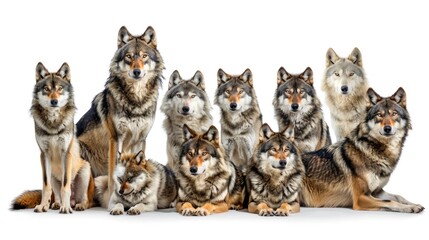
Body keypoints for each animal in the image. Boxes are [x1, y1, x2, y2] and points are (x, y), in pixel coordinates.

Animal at [11, 62, 93, 214]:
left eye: (60, 88)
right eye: (46, 89)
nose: (54, 101)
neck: (53, 123)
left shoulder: (66, 154)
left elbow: (66, 186)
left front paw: (65, 208)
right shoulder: (44, 155)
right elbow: (45, 186)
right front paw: (43, 206)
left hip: (85, 170)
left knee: (87, 200)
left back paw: (78, 205)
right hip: (54, 177)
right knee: (55, 193)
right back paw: (55, 204)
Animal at [76, 26, 165, 195]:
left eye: (144, 56)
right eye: (129, 57)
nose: (137, 72)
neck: (136, 100)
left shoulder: (140, 140)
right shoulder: (116, 138)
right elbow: (113, 173)